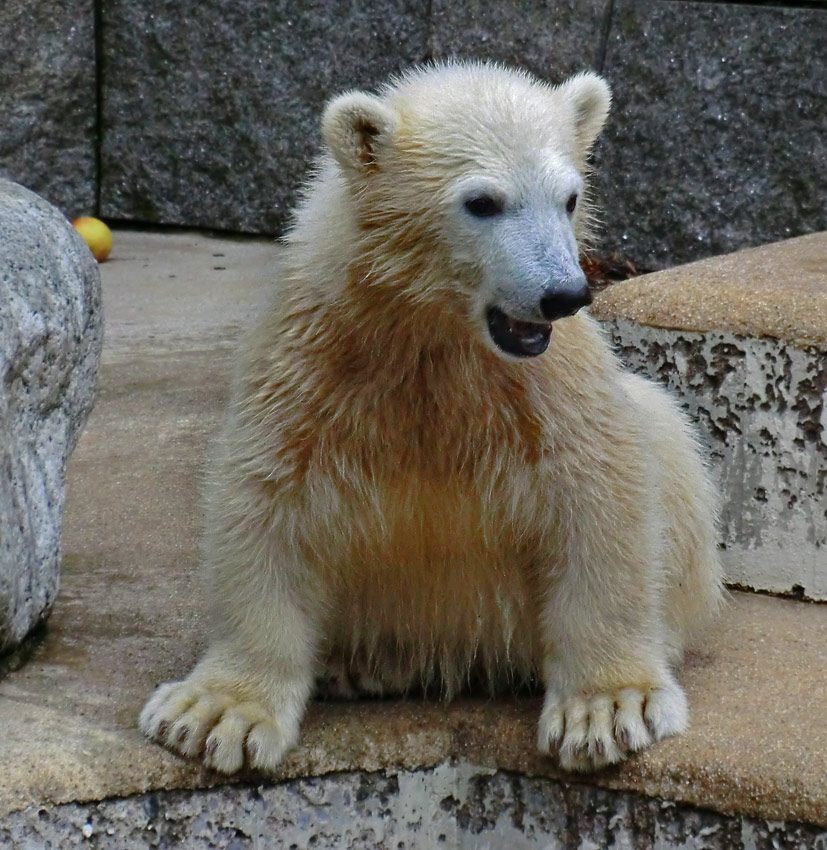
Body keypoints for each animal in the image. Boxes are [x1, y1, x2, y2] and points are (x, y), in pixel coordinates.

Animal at [142, 63, 724, 772]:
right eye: (483, 202)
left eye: (569, 197)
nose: (564, 294)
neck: (435, 334)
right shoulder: (315, 359)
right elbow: (268, 498)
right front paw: (213, 714)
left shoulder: (546, 385)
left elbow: (598, 487)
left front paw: (611, 708)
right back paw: (357, 665)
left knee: (666, 428)